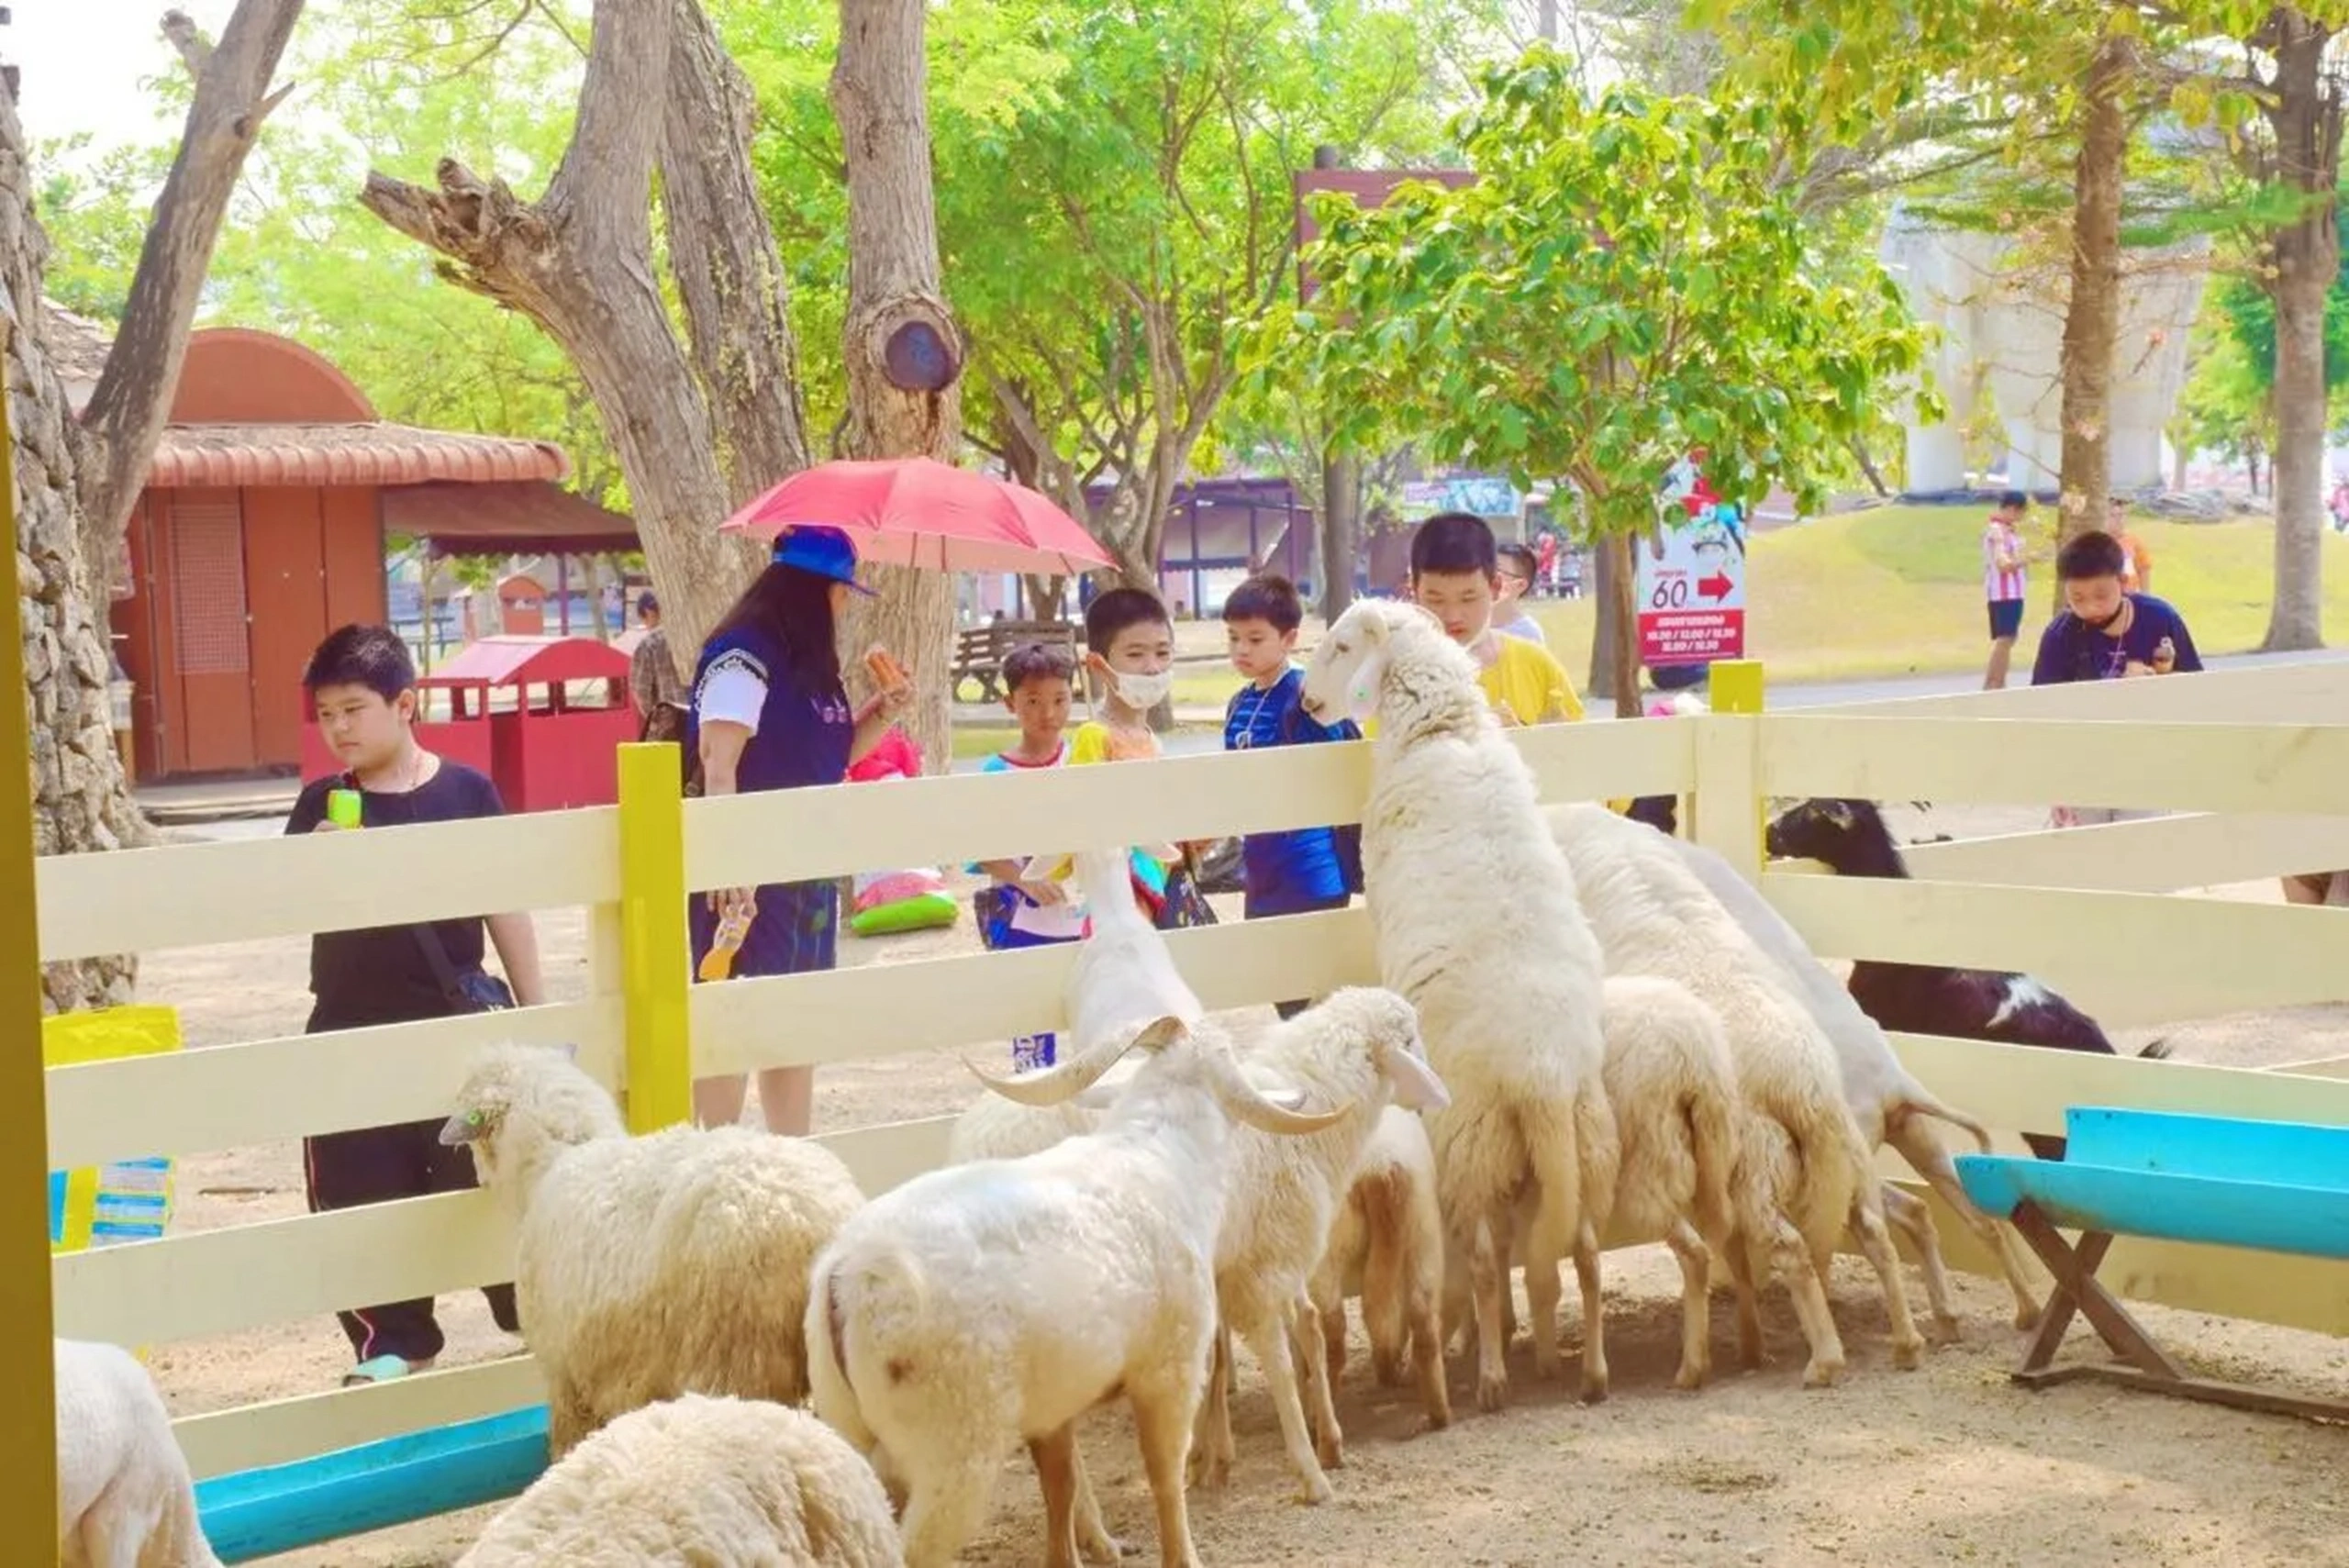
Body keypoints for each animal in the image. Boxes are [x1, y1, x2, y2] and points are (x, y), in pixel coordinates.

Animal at [438, 1045, 865, 1459]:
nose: (475, 1179)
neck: (554, 1161)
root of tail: (806, 1214)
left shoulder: (566, 1374)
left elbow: (567, 1440)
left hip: (736, 1357)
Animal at [806, 1011, 1355, 1568]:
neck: (1157, 1155)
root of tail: (852, 1274)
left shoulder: (1055, 1406)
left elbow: (1061, 1488)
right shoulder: (1168, 1371)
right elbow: (1163, 1475)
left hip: (847, 1431)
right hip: (953, 1445)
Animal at [1300, 597, 1619, 1411]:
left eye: (1340, 646)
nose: (1308, 703)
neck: (1447, 731)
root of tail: (1544, 1075)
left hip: (1470, 1140)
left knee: (1479, 1255)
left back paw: (1493, 1374)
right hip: (1588, 1139)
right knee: (1585, 1250)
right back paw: (1589, 1373)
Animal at [1544, 803, 1928, 1384]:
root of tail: (1805, 1088)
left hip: (1754, 1170)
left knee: (1791, 1250)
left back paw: (1820, 1360)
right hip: (1844, 1166)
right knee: (1877, 1234)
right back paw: (1907, 1341)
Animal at [1657, 825, 2047, 1333]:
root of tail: (1893, 1086)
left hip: (1843, 1160)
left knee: (1861, 1227)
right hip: (1913, 1138)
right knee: (1963, 1215)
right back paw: (2011, 1311)